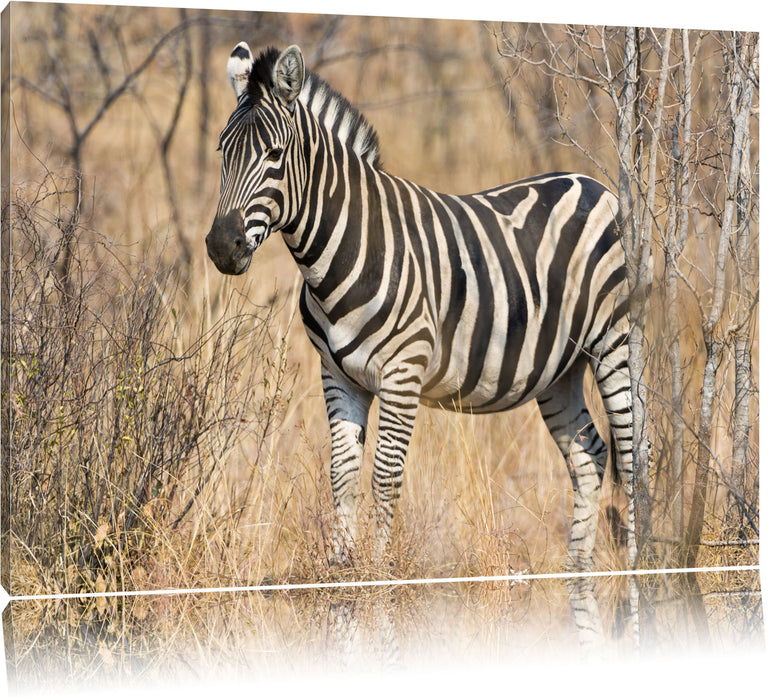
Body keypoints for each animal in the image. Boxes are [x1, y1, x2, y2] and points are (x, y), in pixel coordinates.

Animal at [206, 42, 638, 573]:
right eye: (223, 152)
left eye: (274, 154)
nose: (221, 247)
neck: (345, 248)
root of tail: (592, 184)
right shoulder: (337, 374)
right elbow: (343, 473)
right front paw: (340, 571)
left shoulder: (402, 372)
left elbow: (384, 477)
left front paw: (376, 577)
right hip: (560, 368)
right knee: (589, 454)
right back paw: (578, 571)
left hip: (613, 344)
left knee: (631, 455)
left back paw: (639, 569)